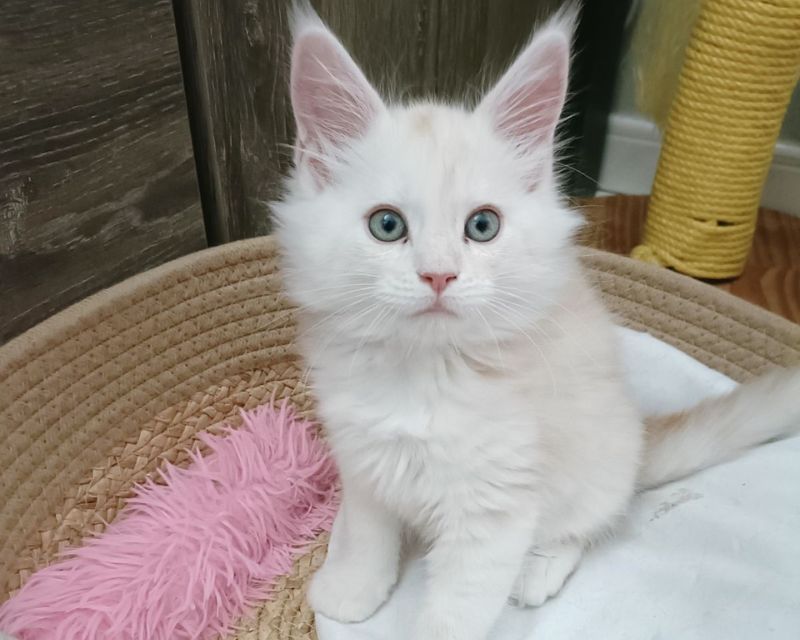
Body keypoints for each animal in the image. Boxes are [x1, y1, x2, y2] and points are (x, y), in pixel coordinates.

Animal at [274, 6, 800, 640]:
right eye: (386, 225)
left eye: (482, 226)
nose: (438, 275)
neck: (424, 374)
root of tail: (641, 437)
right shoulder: (364, 459)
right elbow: (366, 535)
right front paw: (350, 592)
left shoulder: (496, 505)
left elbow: (455, 610)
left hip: (589, 466)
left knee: (584, 524)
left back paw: (540, 569)